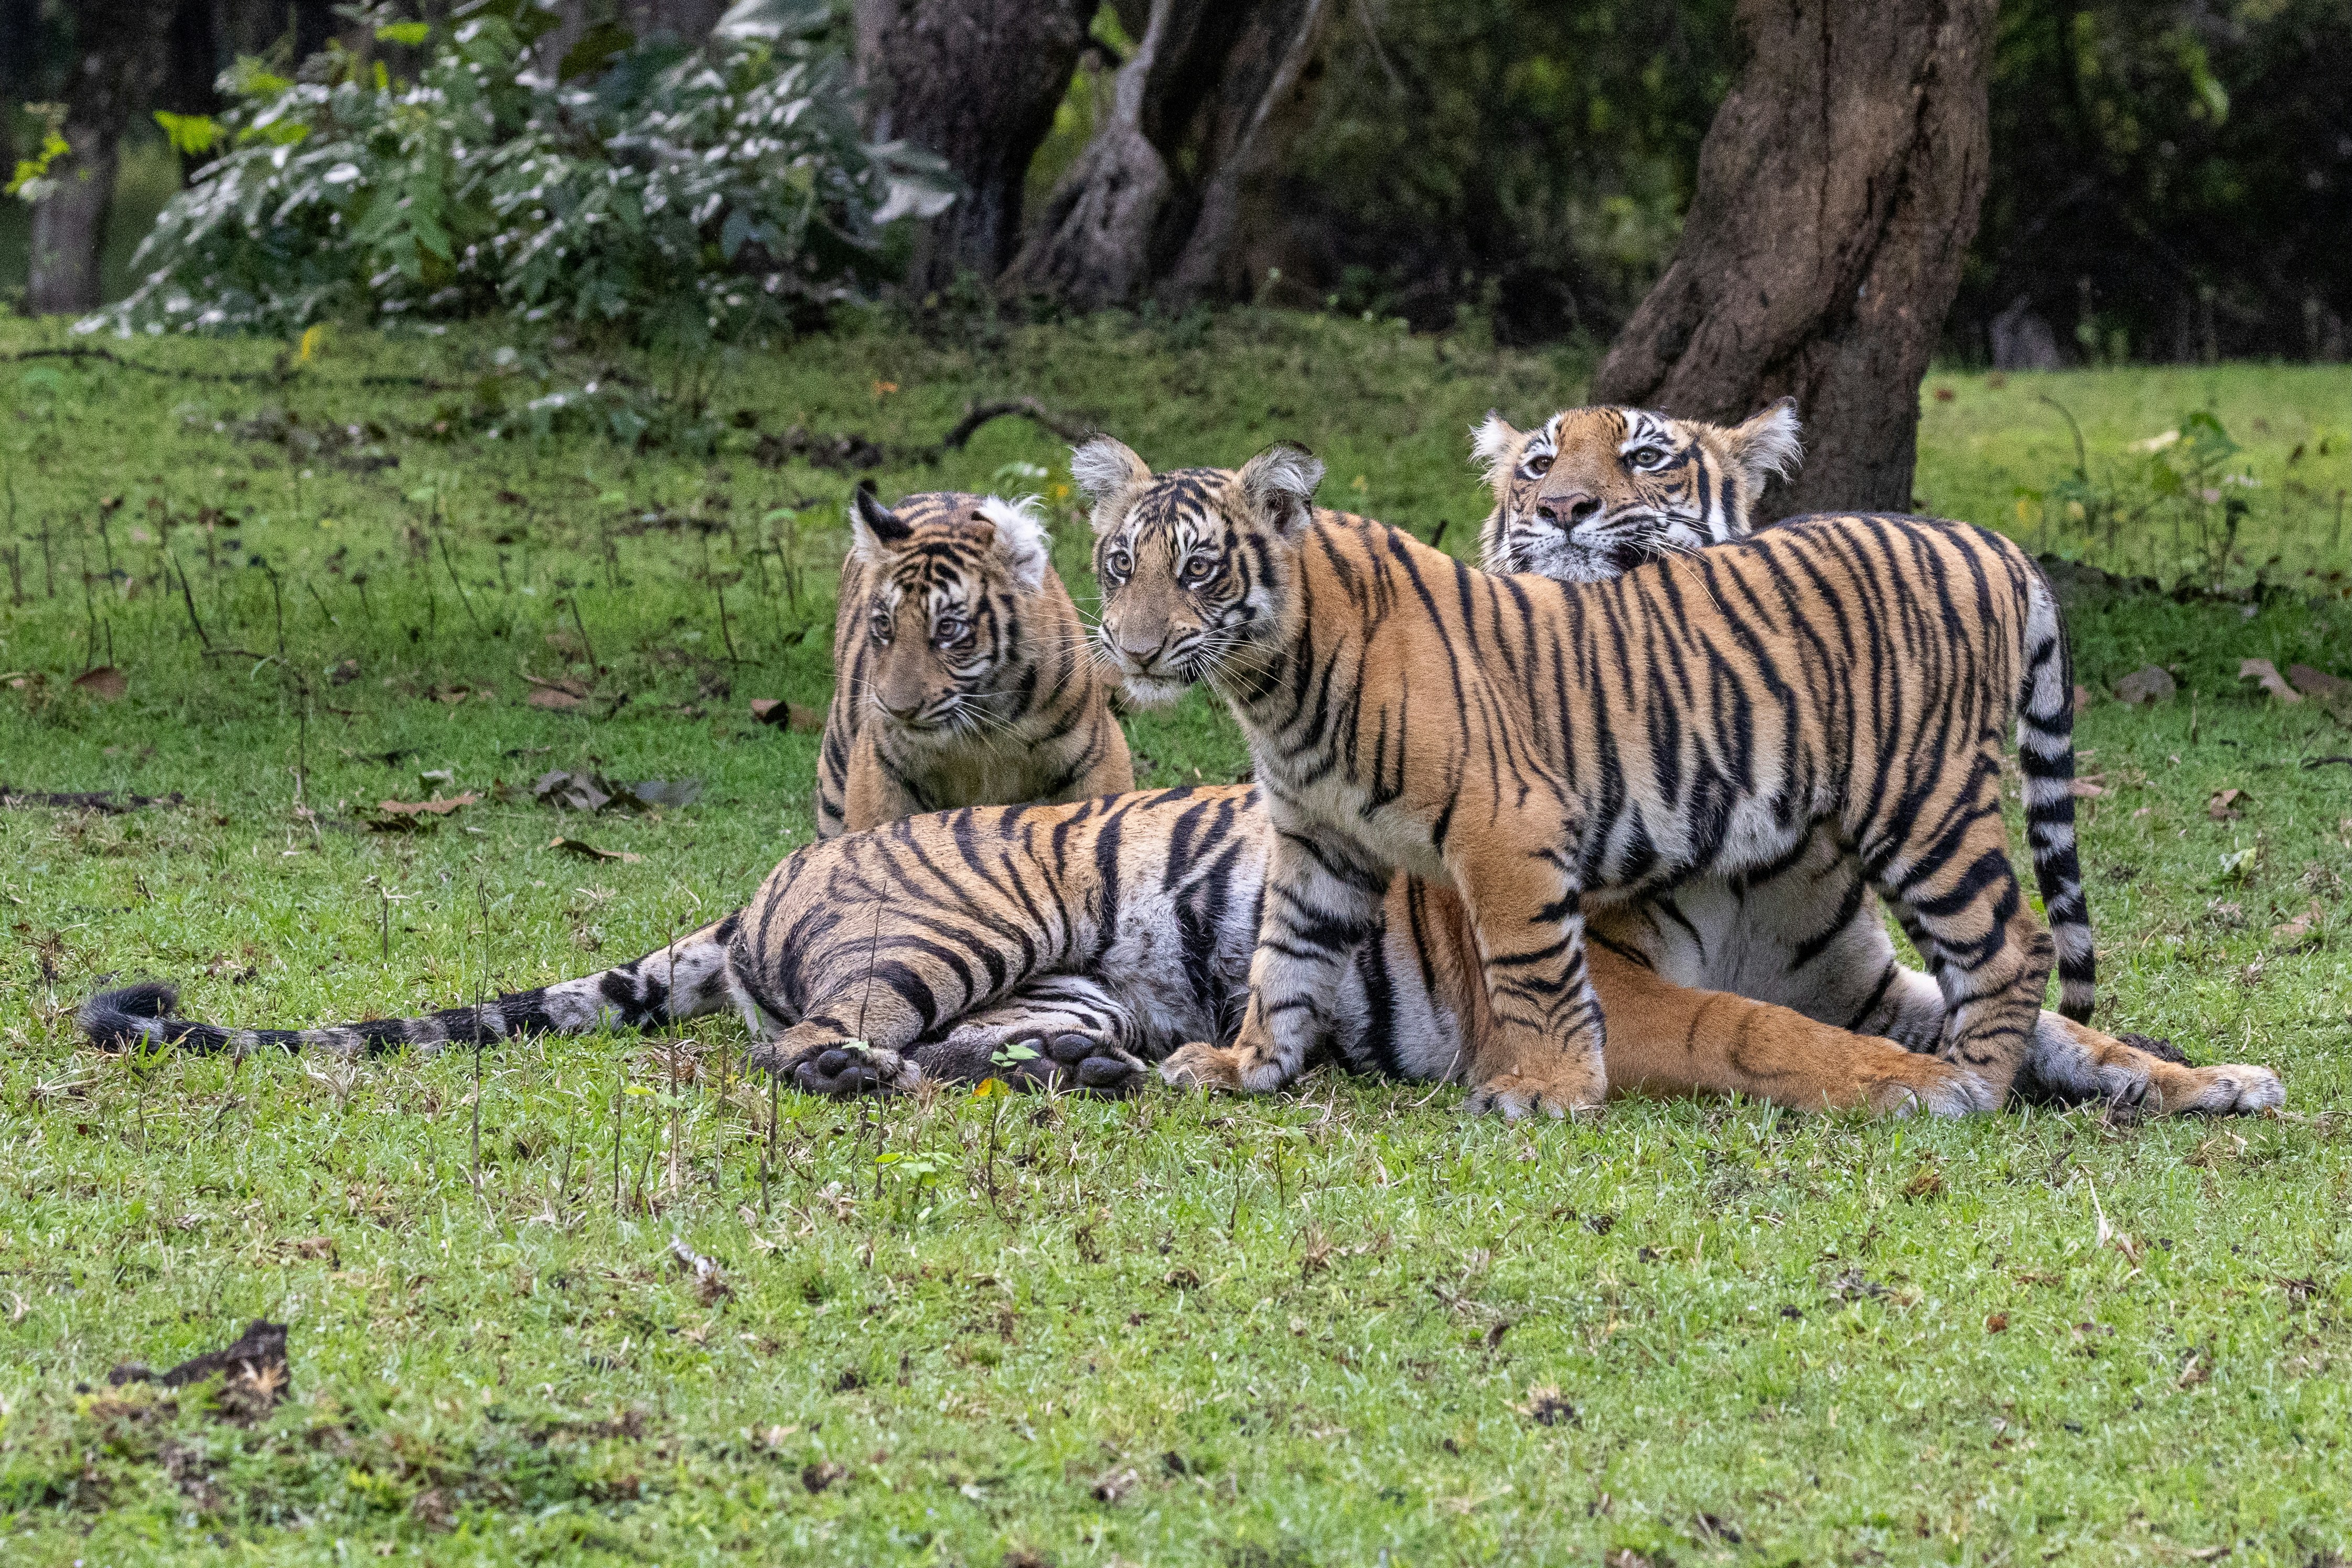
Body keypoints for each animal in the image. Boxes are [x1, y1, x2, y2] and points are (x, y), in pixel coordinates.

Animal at [813, 487, 1132, 839]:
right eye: (884, 625)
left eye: (948, 628)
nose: (899, 711)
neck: (984, 730)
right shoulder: (880, 771)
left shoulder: (1099, 760)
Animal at [1077, 435, 2271, 1119]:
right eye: (1118, 565)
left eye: (1200, 569)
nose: (1130, 649)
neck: (1269, 682)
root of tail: (1991, 542)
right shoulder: (1321, 847)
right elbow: (1283, 965)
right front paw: (1247, 1067)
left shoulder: (1506, 833)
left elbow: (1571, 983)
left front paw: (1553, 1092)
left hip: (1923, 802)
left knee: (2015, 947)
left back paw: (1972, 1081)